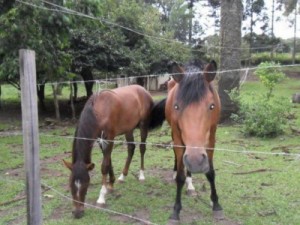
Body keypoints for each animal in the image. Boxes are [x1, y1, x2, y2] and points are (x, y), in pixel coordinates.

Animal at [62, 84, 165, 218]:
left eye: (86, 184)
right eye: (70, 184)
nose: (77, 213)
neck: (98, 111)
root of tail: (143, 90)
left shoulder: (109, 138)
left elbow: (104, 166)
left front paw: (102, 196)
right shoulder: (100, 140)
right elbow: (108, 161)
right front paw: (111, 184)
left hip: (143, 125)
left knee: (142, 148)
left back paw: (141, 175)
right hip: (129, 128)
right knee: (131, 148)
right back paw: (122, 176)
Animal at [164, 60, 223, 222]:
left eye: (212, 106)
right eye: (176, 106)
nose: (195, 161)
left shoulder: (211, 140)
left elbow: (211, 173)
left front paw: (216, 204)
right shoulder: (179, 138)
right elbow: (180, 176)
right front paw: (176, 210)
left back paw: (190, 185)